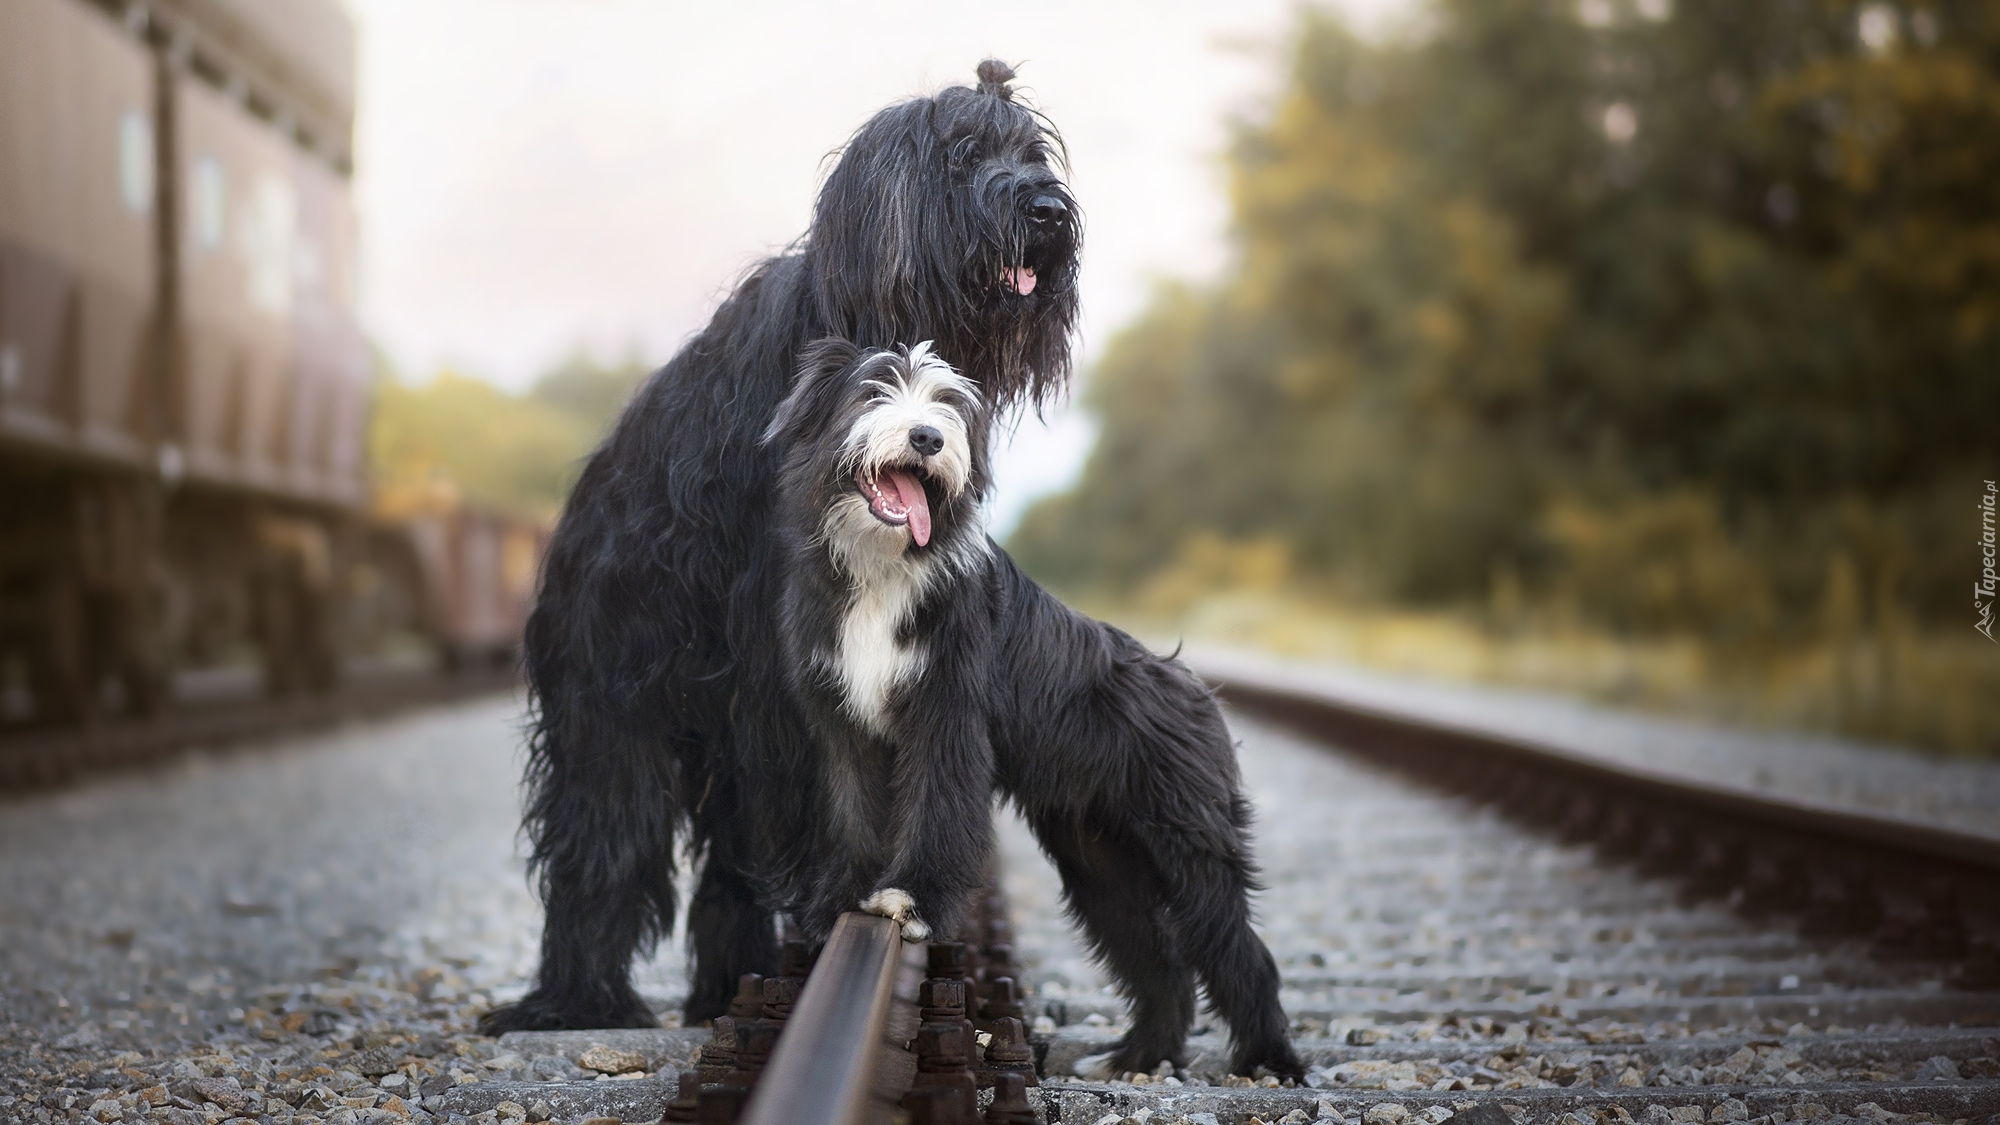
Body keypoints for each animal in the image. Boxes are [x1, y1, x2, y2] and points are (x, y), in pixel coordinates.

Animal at [756, 336, 1304, 1072]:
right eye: (873, 391)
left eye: (947, 403)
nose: (927, 437)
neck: (882, 569)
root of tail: (1193, 686)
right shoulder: (842, 723)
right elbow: (850, 809)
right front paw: (839, 899)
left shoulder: (948, 715)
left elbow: (937, 805)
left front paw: (912, 898)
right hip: (1103, 862)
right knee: (1157, 960)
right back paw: (1138, 1054)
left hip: (1188, 838)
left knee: (1234, 944)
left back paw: (1269, 1058)